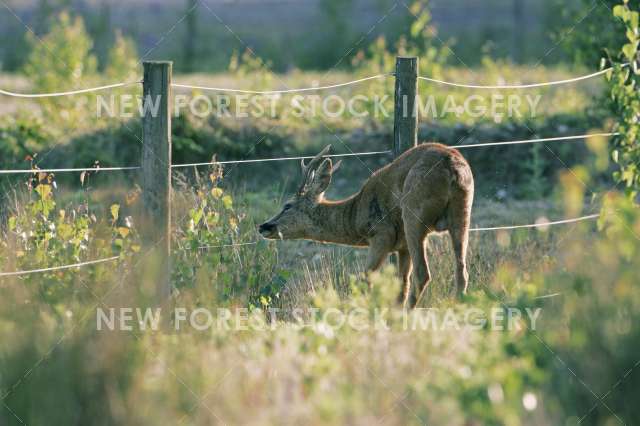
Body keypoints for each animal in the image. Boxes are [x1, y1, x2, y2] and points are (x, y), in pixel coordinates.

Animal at [258, 143, 472, 306]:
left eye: (287, 205)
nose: (264, 226)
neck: (355, 214)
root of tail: (453, 167)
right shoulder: (401, 246)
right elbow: (401, 285)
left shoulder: (382, 234)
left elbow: (365, 279)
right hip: (462, 214)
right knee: (461, 271)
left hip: (414, 215)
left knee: (423, 274)